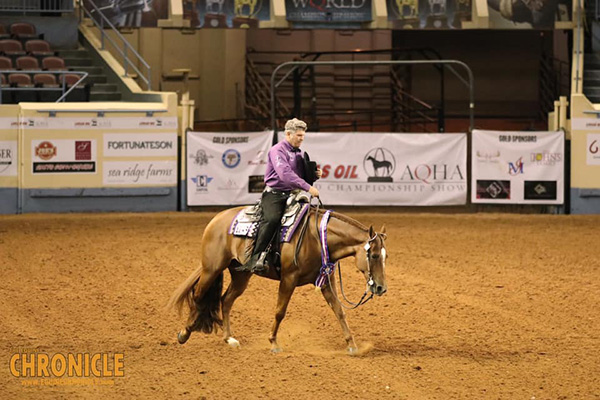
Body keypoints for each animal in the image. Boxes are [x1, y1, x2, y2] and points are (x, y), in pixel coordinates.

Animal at [168, 206, 390, 354]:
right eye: (374, 255)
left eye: (385, 256)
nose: (381, 288)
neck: (316, 237)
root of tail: (217, 219)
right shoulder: (288, 279)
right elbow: (280, 311)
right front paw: (273, 343)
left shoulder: (325, 281)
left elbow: (339, 311)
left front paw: (352, 345)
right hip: (211, 269)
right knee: (199, 296)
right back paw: (184, 334)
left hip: (241, 274)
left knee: (226, 300)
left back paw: (229, 339)